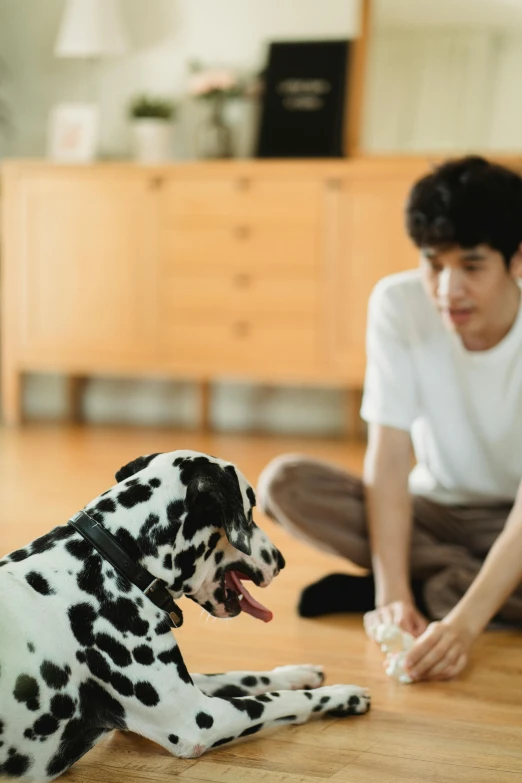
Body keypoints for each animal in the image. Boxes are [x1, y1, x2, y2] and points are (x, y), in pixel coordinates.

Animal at [0, 450, 370, 780]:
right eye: (250, 513)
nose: (281, 560)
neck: (113, 560)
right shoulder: (199, 718)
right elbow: (279, 700)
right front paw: (342, 695)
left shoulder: (189, 687)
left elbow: (248, 677)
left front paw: (297, 672)